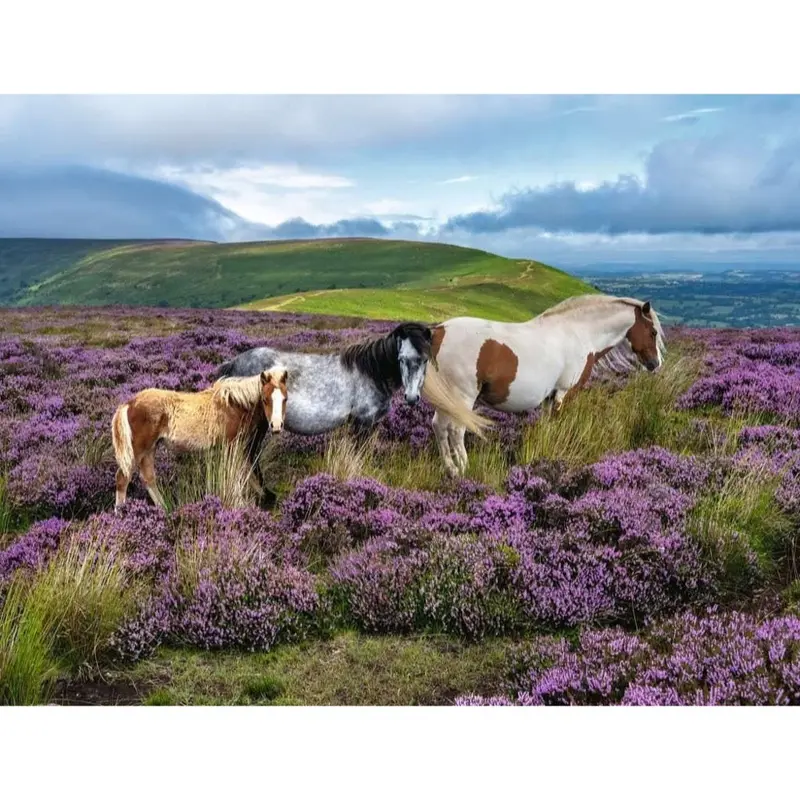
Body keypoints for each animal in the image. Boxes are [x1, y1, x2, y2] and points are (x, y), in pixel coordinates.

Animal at [111, 366, 289, 509]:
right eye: (265, 399)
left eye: (285, 399)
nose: (276, 426)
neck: (235, 404)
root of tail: (129, 403)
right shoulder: (232, 445)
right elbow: (236, 474)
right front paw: (239, 504)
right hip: (138, 449)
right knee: (122, 478)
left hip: (150, 449)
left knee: (148, 478)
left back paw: (164, 510)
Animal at [214, 322, 490, 444]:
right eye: (401, 358)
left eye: (424, 360)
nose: (412, 398)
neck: (372, 372)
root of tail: (234, 363)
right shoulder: (362, 422)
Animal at [426, 294, 666, 477]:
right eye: (653, 332)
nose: (655, 364)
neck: (579, 333)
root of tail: (440, 331)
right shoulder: (564, 392)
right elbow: (559, 424)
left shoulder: (550, 397)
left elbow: (548, 426)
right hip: (463, 397)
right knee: (456, 430)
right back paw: (464, 469)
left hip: (448, 400)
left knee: (439, 426)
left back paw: (451, 470)